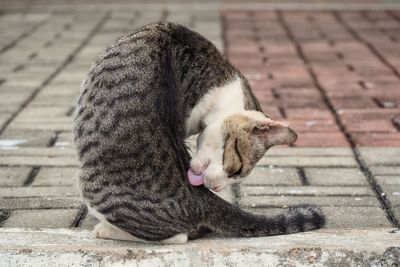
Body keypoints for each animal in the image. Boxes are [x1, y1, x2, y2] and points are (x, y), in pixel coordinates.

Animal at [74, 21, 324, 245]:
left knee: (177, 236)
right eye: (236, 169)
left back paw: (106, 230)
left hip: (92, 186)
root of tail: (201, 201)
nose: (216, 188)